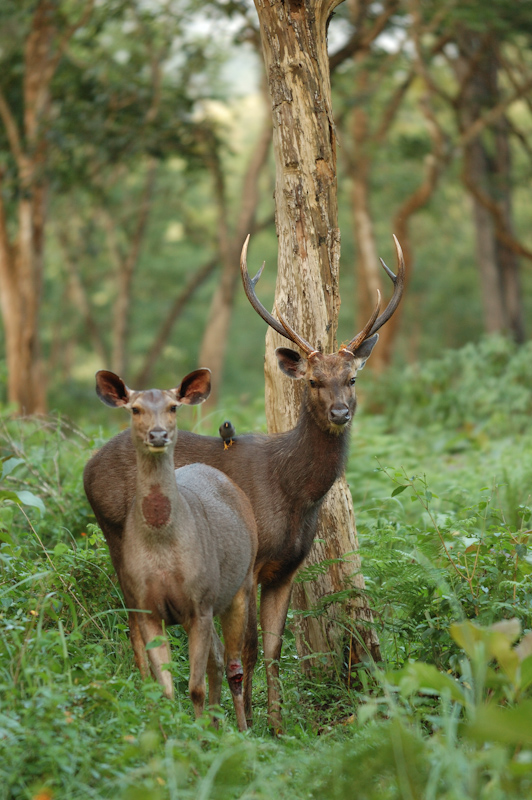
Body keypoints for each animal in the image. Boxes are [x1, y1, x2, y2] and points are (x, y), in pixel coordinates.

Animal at [95, 368, 258, 732]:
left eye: (173, 407)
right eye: (135, 408)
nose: (158, 434)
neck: (163, 549)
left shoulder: (200, 601)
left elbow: (195, 688)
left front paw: (199, 736)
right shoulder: (146, 606)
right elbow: (166, 689)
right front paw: (172, 735)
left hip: (241, 585)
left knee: (233, 663)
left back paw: (242, 729)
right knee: (217, 658)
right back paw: (217, 724)